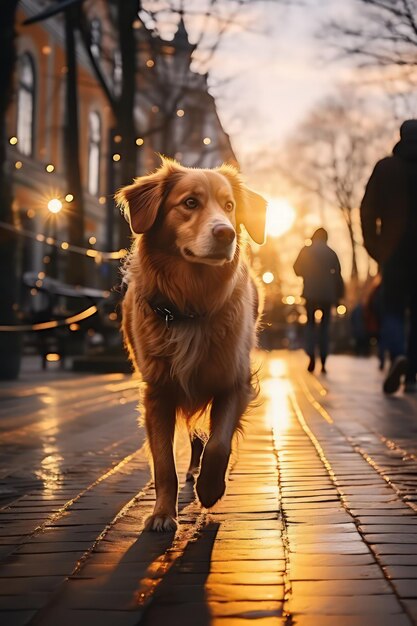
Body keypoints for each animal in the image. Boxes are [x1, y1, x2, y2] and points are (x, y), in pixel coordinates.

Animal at [115, 157, 268, 532]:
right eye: (189, 203)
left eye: (230, 206)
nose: (226, 233)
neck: (190, 306)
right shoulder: (157, 392)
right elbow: (163, 464)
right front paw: (162, 513)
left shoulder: (234, 382)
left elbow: (219, 444)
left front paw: (210, 489)